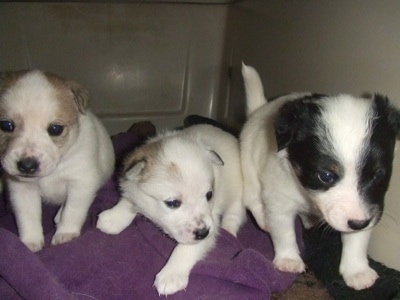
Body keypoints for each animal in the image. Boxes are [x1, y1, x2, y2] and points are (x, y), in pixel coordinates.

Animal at [0, 70, 115, 253]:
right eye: (6, 125)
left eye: (56, 129)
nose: (27, 166)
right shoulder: (22, 190)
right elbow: (28, 217)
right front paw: (29, 243)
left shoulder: (81, 183)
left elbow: (72, 211)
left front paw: (65, 234)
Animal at [97, 124, 244, 296]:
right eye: (173, 203)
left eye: (209, 195)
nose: (203, 233)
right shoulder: (133, 189)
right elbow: (128, 201)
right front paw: (113, 218)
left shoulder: (210, 220)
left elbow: (185, 249)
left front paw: (171, 274)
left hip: (238, 196)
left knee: (234, 215)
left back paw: (229, 231)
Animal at [239, 63, 400, 290]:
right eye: (326, 176)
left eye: (379, 174)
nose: (359, 223)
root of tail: (259, 109)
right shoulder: (279, 200)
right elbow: (284, 230)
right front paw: (288, 260)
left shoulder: (369, 208)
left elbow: (357, 240)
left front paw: (358, 271)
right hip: (249, 167)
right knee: (252, 198)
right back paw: (264, 219)